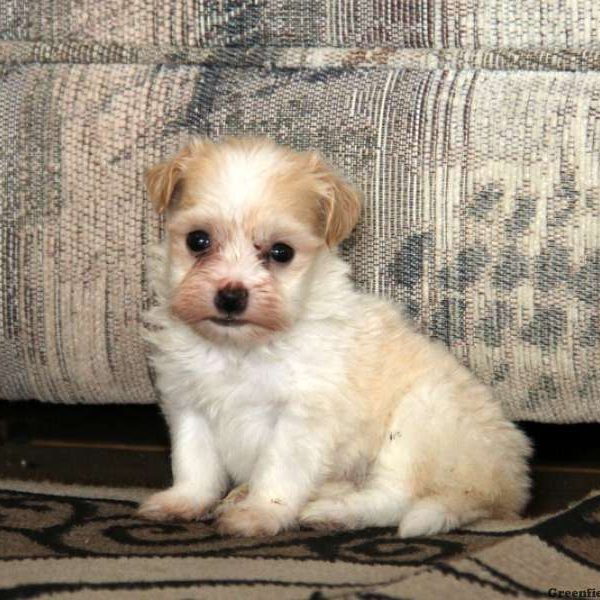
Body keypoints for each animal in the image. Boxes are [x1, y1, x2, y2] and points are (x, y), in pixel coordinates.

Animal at [139, 137, 528, 540]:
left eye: (281, 252)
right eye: (198, 240)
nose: (231, 297)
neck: (239, 349)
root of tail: (503, 487)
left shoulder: (300, 417)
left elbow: (278, 471)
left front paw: (260, 513)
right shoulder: (188, 403)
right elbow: (194, 463)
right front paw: (183, 502)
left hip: (417, 424)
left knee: (394, 498)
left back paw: (334, 512)